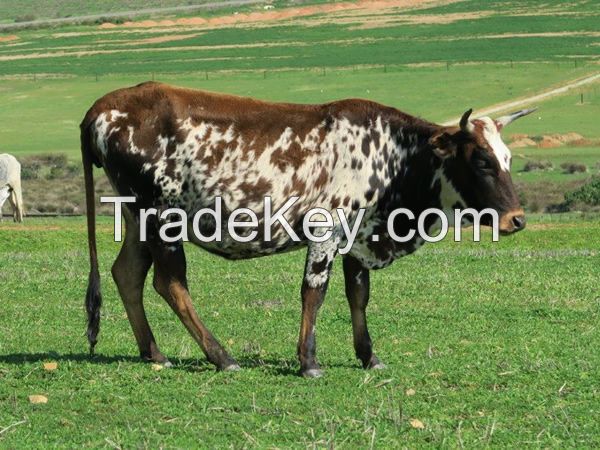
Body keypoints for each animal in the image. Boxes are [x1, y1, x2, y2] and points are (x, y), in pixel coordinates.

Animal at [81, 81, 536, 376]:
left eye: (508, 158)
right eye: (481, 161)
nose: (516, 219)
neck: (395, 157)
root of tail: (101, 107)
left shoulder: (359, 236)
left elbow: (358, 295)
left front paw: (368, 356)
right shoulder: (326, 230)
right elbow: (314, 293)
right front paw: (309, 361)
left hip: (136, 218)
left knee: (127, 274)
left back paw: (153, 352)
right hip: (161, 218)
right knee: (170, 283)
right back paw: (222, 357)